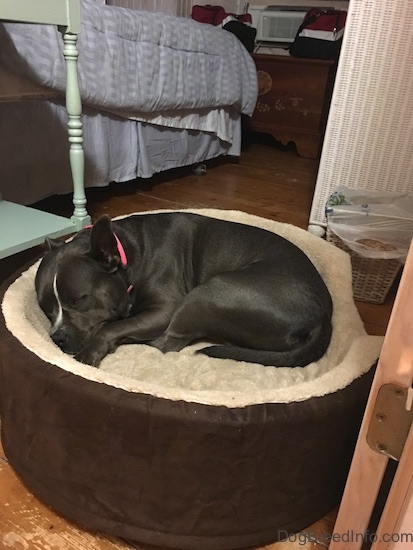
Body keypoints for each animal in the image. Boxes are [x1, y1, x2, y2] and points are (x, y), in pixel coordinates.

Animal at [34, 213, 332, 368]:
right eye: (45, 309)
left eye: (80, 299)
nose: (57, 338)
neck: (129, 253)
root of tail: (324, 317)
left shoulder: (164, 310)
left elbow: (111, 327)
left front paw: (91, 352)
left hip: (209, 293)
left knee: (167, 344)